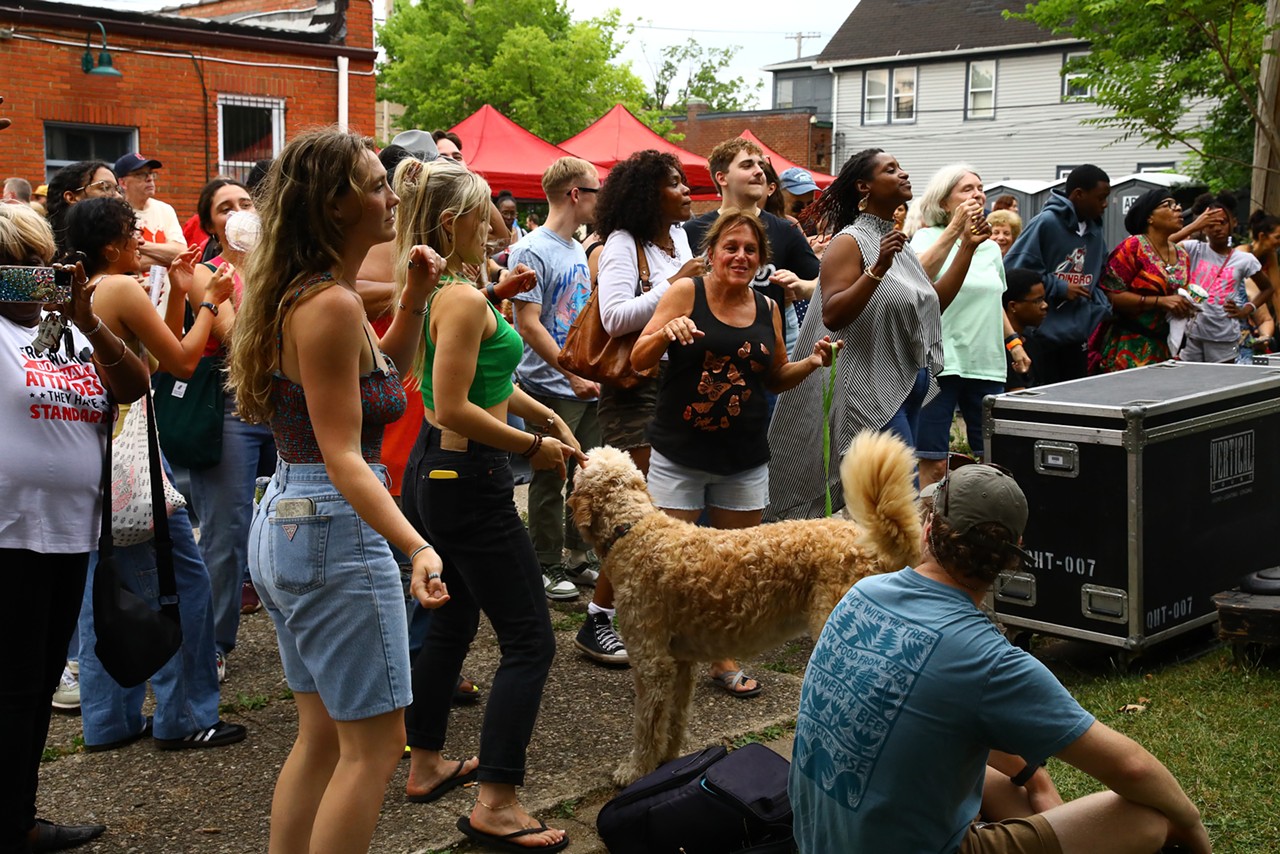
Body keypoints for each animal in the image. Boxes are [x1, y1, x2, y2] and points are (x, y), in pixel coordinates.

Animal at [570, 430, 921, 783]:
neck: (634, 530)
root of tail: (880, 547)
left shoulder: (651, 663)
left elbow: (647, 725)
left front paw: (636, 770)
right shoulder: (680, 663)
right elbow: (674, 719)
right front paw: (668, 761)